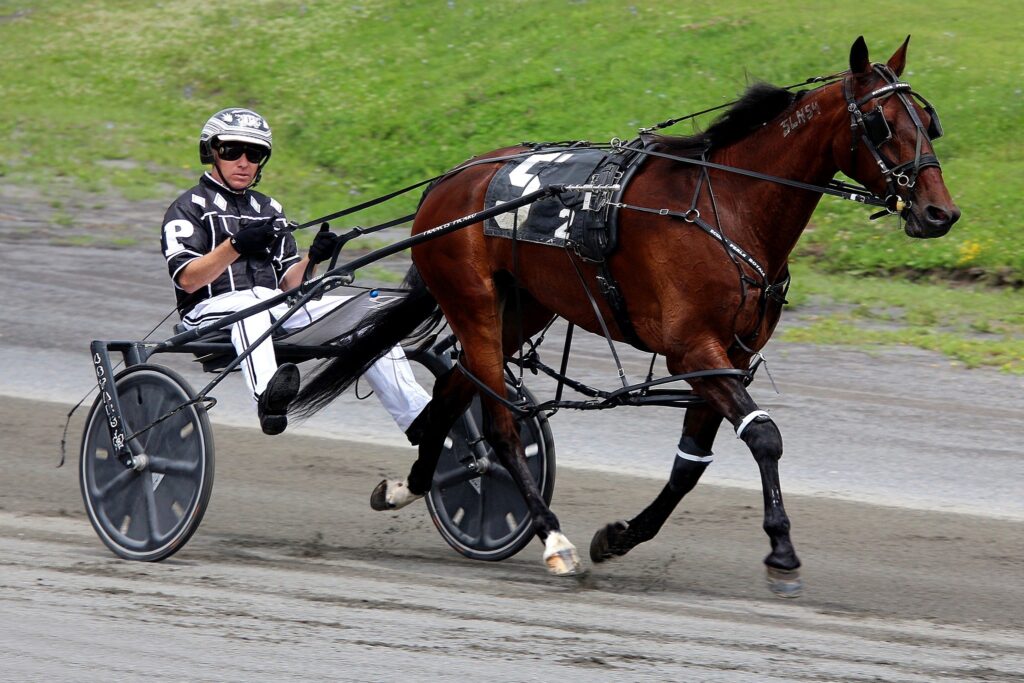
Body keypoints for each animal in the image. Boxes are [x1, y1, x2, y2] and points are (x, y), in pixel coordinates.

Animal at [290, 36, 959, 595]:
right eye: (880, 122)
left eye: (928, 123)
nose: (939, 214)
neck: (729, 207)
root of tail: (447, 184)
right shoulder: (693, 350)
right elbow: (764, 435)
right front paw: (782, 552)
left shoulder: (728, 359)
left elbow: (691, 466)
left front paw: (619, 536)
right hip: (472, 299)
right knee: (499, 420)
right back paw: (549, 534)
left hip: (523, 307)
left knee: (455, 391)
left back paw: (412, 484)